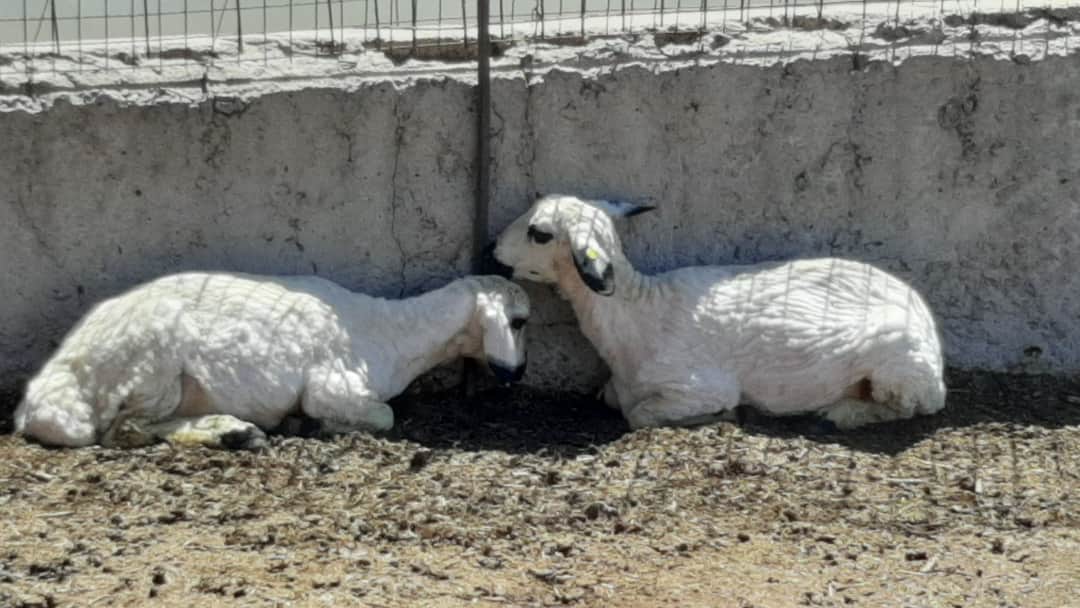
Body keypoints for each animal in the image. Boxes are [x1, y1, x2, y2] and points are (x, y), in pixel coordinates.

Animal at [15, 272, 530, 449]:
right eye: (520, 321)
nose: (520, 372)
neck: (392, 331)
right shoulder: (333, 387)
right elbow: (384, 416)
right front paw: (315, 425)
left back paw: (236, 432)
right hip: (148, 369)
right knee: (123, 431)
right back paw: (237, 433)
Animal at [485, 194, 946, 430]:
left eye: (539, 233)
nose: (492, 252)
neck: (640, 314)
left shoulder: (701, 386)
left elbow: (638, 415)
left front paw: (724, 415)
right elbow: (613, 398)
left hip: (899, 367)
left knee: (916, 407)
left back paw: (847, 413)